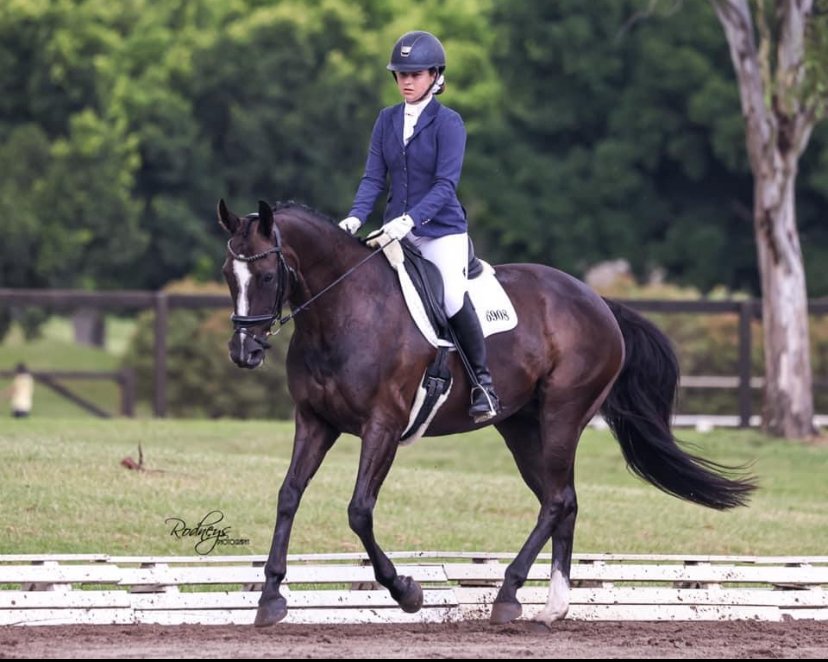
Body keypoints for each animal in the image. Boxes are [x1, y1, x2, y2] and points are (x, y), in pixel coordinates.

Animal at [217, 198, 756, 628]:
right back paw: (552, 606)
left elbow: (359, 510)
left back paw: (510, 595)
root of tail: (598, 301)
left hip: (563, 415)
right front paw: (270, 598)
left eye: (267, 275)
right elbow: (288, 495)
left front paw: (407, 591)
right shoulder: (315, 421)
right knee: (563, 499)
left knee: (557, 500)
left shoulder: (383, 426)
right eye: (227, 275)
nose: (245, 352)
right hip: (521, 426)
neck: (344, 312)